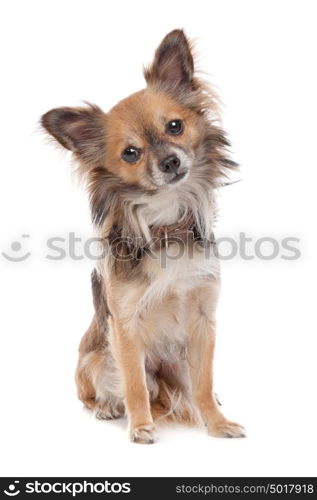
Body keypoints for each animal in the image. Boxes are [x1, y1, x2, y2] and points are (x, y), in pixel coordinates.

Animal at [41, 29, 244, 444]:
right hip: (96, 358)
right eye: (130, 153)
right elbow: (133, 383)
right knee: (99, 392)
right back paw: (107, 407)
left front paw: (216, 423)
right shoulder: (125, 327)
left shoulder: (203, 321)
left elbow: (203, 383)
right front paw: (140, 427)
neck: (165, 224)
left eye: (175, 127)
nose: (170, 162)